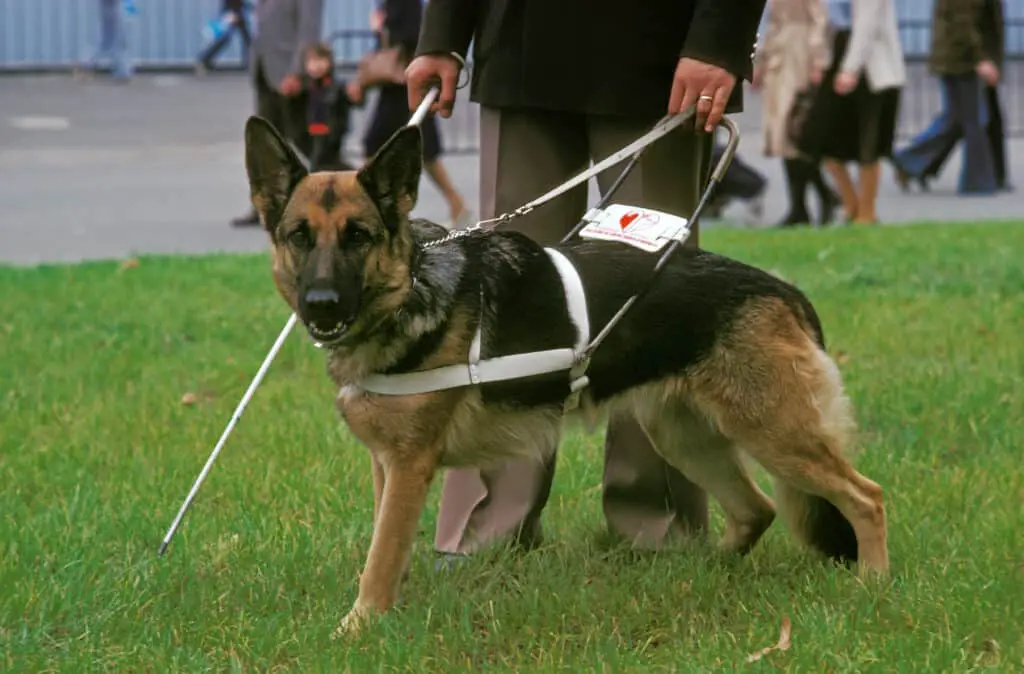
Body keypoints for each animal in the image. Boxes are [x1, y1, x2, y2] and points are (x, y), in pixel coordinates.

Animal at [241, 112, 888, 630]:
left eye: (358, 237)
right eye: (299, 237)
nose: (322, 305)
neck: (411, 291)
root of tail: (782, 290)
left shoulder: (408, 467)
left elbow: (379, 561)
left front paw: (356, 629)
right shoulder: (387, 466)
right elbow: (386, 549)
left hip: (775, 435)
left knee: (867, 497)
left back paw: (874, 586)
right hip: (686, 437)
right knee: (758, 509)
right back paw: (701, 577)